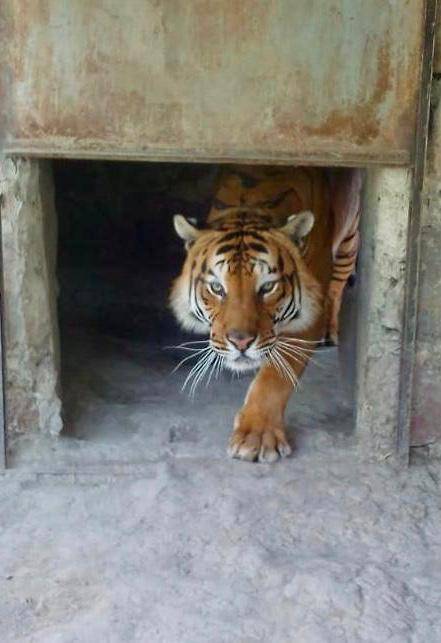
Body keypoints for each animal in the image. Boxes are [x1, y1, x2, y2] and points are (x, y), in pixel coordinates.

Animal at [170, 165, 361, 462]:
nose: (240, 342)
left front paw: (256, 435)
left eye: (267, 287)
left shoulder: (307, 317)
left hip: (349, 238)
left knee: (339, 283)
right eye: (217, 287)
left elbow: (275, 376)